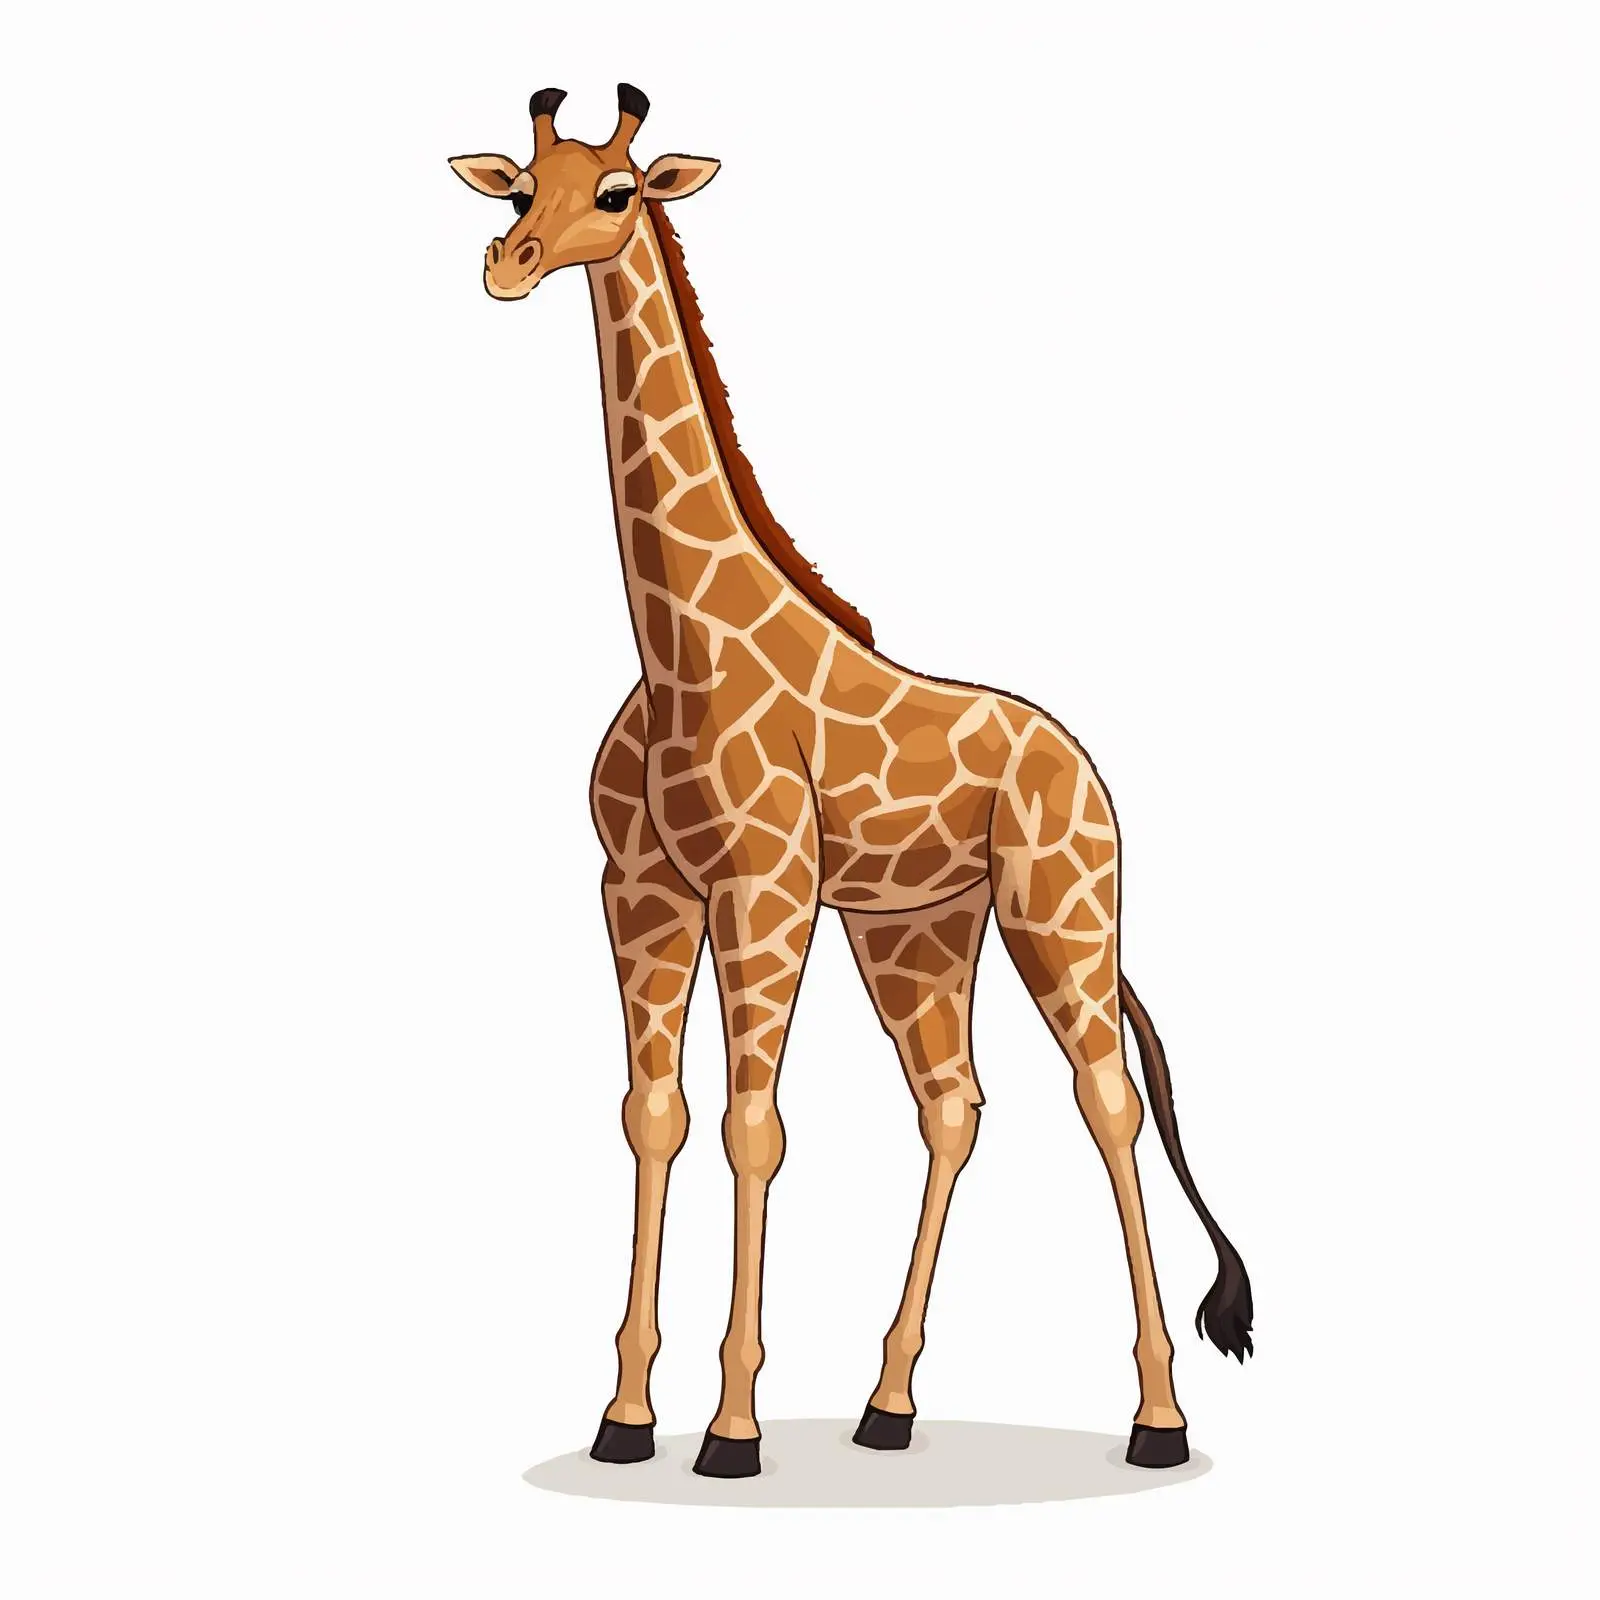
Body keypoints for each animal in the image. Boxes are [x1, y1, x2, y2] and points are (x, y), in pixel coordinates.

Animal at [451, 84, 1253, 1480]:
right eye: (515, 191)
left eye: (615, 193)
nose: (508, 264)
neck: (675, 644)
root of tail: (1083, 763)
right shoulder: (639, 891)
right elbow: (653, 1114)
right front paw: (624, 1416)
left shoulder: (763, 892)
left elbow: (751, 1126)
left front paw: (729, 1431)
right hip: (917, 932)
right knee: (955, 1108)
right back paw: (887, 1406)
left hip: (1062, 911)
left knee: (1105, 1104)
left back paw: (1156, 1418)